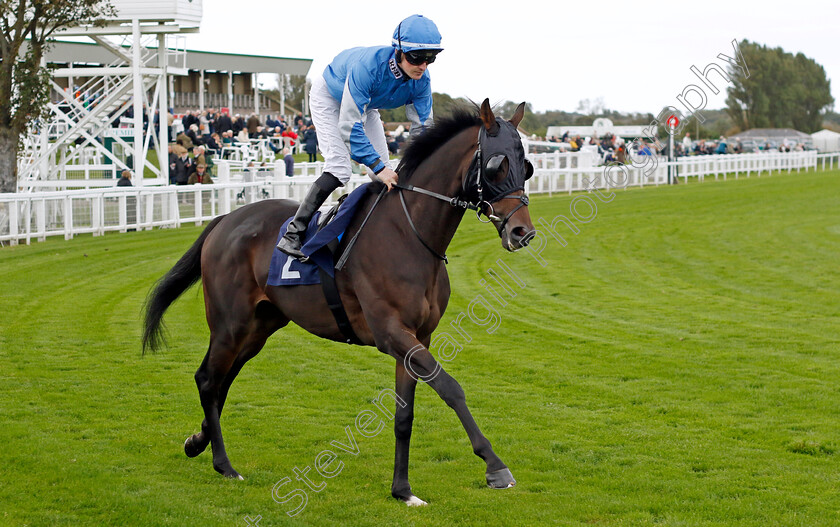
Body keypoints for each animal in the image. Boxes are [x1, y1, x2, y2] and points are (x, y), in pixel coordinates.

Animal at [143, 99, 540, 508]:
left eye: (526, 164)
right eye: (497, 165)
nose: (522, 232)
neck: (410, 234)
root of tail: (223, 220)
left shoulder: (417, 338)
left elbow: (404, 416)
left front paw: (403, 490)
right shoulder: (391, 332)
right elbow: (450, 387)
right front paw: (495, 466)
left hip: (259, 327)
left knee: (222, 380)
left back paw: (197, 442)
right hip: (229, 323)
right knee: (208, 379)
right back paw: (224, 465)